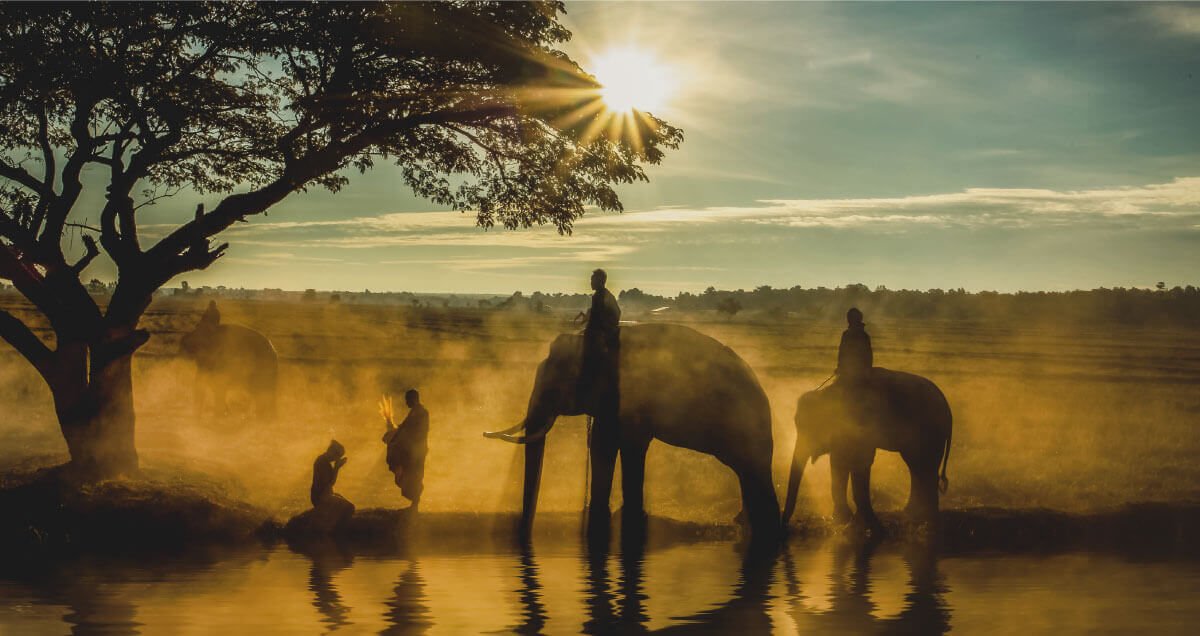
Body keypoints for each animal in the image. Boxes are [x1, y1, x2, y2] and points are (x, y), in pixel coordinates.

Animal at [482, 324, 782, 537]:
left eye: (558, 384)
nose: (524, 533)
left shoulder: (632, 394)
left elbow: (630, 445)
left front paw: (631, 520)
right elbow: (602, 444)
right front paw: (600, 515)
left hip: (746, 422)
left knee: (753, 469)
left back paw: (766, 529)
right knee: (745, 472)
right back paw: (747, 523)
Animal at [782, 364, 950, 528]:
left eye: (812, 427)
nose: (785, 521)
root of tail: (947, 408)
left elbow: (854, 460)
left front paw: (849, 519)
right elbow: (839, 461)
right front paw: (842, 519)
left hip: (932, 432)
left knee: (924, 466)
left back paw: (925, 516)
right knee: (917, 466)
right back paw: (912, 512)